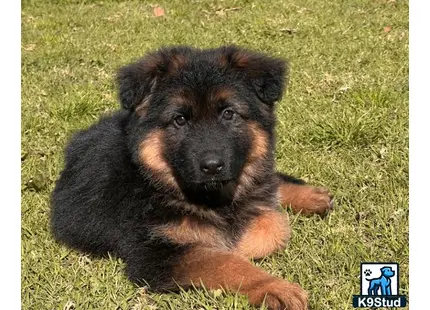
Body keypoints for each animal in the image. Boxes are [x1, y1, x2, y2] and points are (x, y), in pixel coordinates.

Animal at [50, 46, 332, 310]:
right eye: (180, 120)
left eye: (228, 113)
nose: (212, 167)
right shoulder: (154, 253)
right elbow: (224, 259)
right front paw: (272, 286)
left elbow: (272, 224)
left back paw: (311, 195)